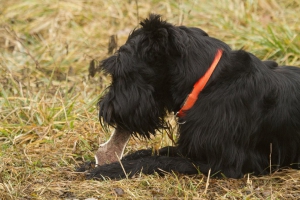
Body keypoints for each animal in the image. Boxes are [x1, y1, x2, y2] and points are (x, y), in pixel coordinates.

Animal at [88, 14, 300, 180]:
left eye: (120, 72)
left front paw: (111, 169)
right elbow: (155, 151)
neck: (207, 84)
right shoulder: (191, 147)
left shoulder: (221, 164)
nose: (105, 110)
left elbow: (158, 160)